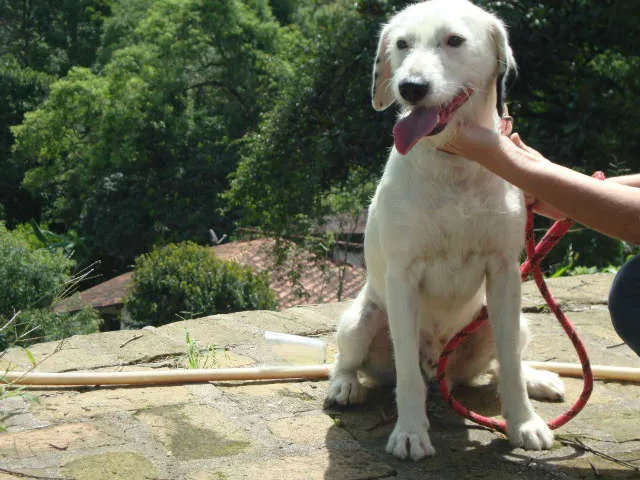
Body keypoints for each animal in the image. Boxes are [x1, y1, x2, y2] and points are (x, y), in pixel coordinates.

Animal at [328, 1, 564, 464]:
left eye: (454, 40)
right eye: (402, 44)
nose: (410, 88)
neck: (452, 165)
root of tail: (443, 373)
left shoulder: (505, 273)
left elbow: (510, 362)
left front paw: (523, 423)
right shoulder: (402, 277)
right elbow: (406, 372)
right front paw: (410, 432)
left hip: (503, 318)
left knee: (508, 358)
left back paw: (537, 379)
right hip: (361, 318)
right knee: (347, 359)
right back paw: (345, 385)